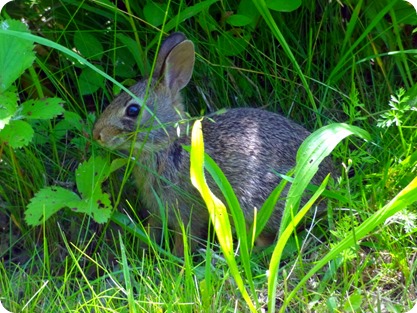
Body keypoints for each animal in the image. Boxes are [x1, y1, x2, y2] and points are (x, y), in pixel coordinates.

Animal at [92, 32, 334, 256]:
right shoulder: (157, 210)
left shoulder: (187, 210)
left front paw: (178, 263)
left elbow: (186, 239)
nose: (97, 134)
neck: (169, 144)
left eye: (133, 110)